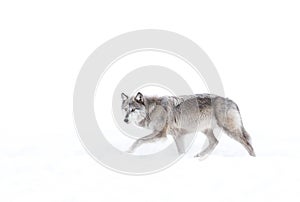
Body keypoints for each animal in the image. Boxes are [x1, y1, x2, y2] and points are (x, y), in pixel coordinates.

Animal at [120, 92, 254, 157]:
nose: (125, 120)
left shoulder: (160, 134)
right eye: (125, 109)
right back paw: (199, 155)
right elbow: (181, 151)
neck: (152, 110)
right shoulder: (177, 136)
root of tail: (231, 101)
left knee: (248, 144)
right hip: (205, 130)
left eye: (133, 110)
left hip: (230, 131)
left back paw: (252, 159)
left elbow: (138, 140)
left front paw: (129, 151)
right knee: (215, 142)